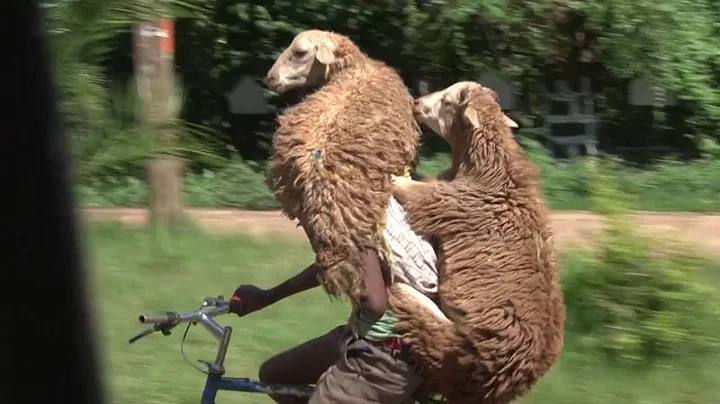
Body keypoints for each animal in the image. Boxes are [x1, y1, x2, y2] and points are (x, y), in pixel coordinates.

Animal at [386, 80, 564, 402]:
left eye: (447, 101)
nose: (417, 103)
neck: (491, 167)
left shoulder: (443, 202)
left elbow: (415, 192)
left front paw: (397, 178)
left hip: (462, 347)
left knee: (427, 328)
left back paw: (404, 293)